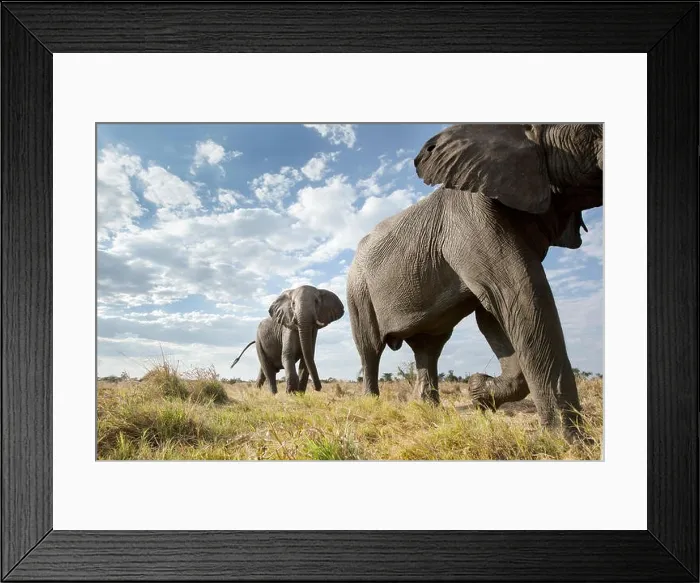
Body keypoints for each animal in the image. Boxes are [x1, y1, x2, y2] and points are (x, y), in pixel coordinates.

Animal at [346, 123, 603, 442]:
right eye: (590, 131)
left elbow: (494, 313)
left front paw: (479, 392)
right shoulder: (472, 217)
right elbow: (519, 294)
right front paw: (570, 443)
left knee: (428, 347)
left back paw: (427, 408)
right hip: (358, 291)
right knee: (370, 347)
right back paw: (372, 403)